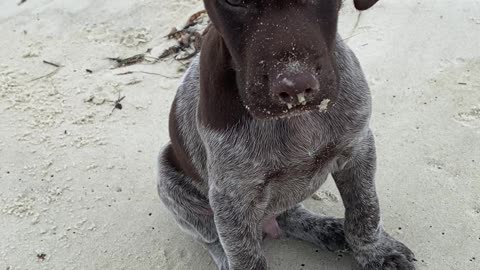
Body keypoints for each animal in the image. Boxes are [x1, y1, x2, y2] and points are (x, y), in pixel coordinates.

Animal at [158, 1, 416, 268]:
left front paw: (377, 252)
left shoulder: (358, 147)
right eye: (234, 2)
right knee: (211, 239)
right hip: (168, 178)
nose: (295, 86)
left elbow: (365, 211)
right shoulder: (232, 197)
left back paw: (325, 228)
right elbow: (244, 257)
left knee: (287, 214)